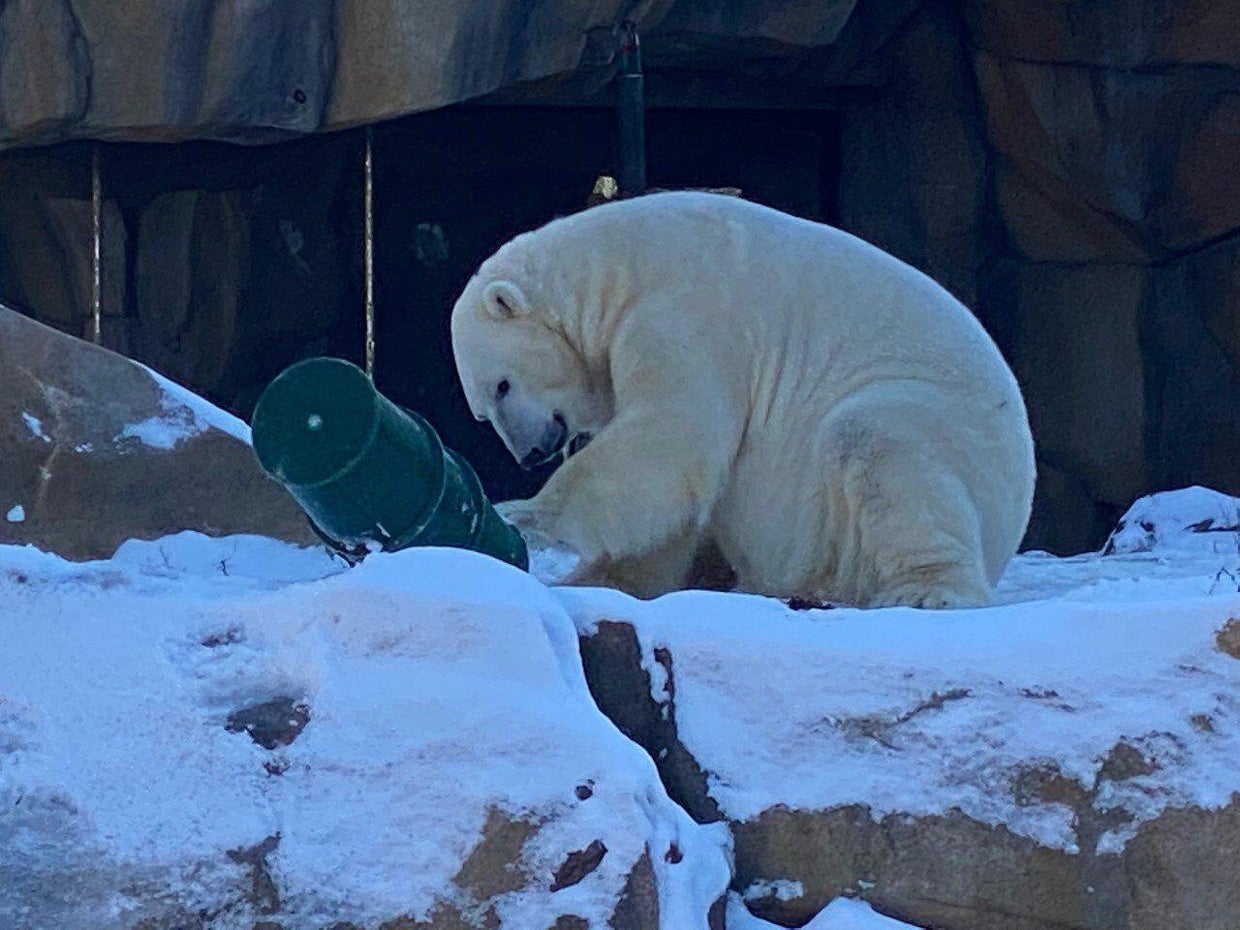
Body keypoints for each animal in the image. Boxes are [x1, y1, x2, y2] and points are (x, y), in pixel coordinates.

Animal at [450, 192, 1036, 608]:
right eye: (481, 412)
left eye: (501, 385)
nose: (531, 453)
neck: (613, 268)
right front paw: (600, 575)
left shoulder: (687, 312)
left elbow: (671, 434)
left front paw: (524, 513)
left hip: (941, 437)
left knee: (876, 439)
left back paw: (923, 589)